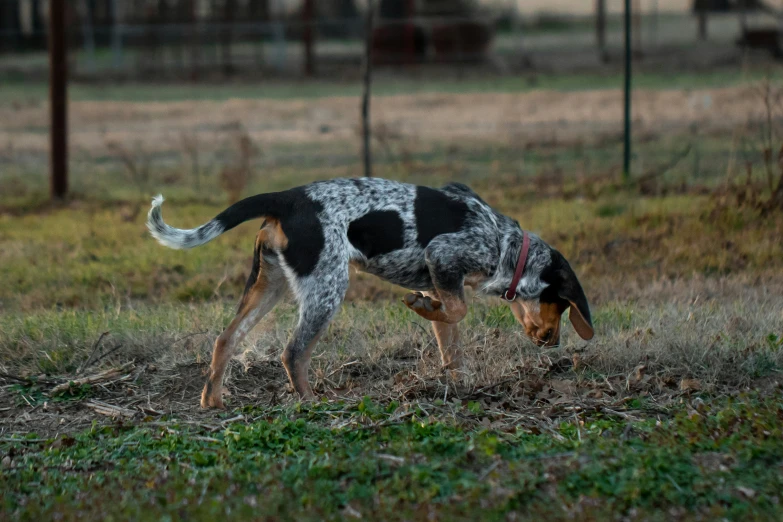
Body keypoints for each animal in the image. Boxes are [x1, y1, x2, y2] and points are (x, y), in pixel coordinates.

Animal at [147, 177, 596, 408]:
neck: (506, 244)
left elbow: (452, 342)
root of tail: (289, 197)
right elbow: (458, 311)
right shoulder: (442, 254)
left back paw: (212, 401)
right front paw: (421, 306)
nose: (553, 343)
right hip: (327, 289)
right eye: (563, 306)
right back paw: (313, 402)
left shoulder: (441, 277)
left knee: (226, 339)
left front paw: (459, 383)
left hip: (267, 285)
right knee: (293, 353)